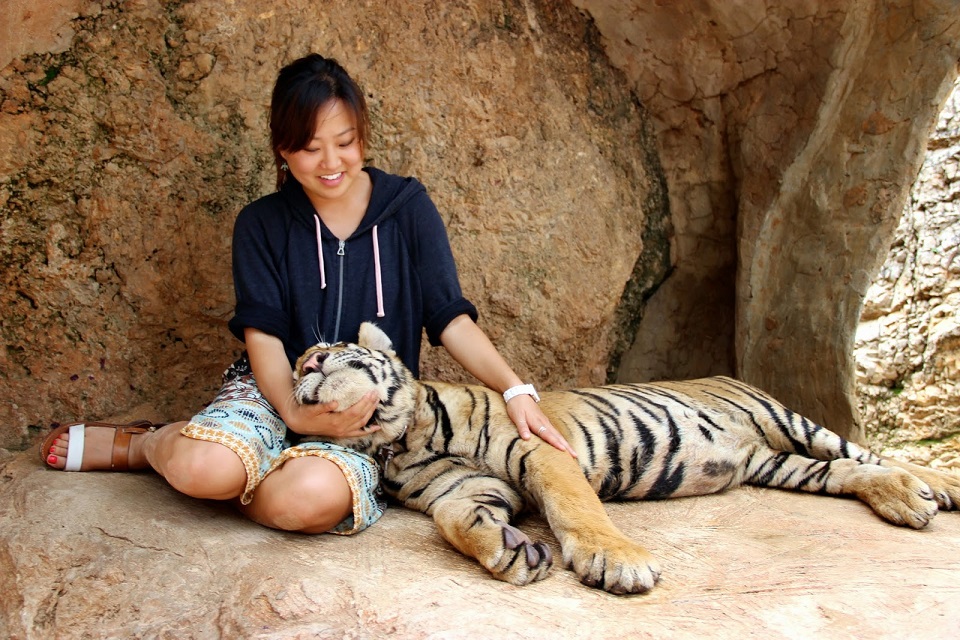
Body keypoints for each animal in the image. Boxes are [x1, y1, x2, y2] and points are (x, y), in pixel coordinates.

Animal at [292, 322, 960, 596]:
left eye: (335, 346)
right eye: (302, 361)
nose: (303, 364)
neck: (401, 439)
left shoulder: (542, 450)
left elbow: (576, 509)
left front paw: (617, 563)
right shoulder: (461, 491)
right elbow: (458, 523)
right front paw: (511, 550)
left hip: (786, 421)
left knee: (869, 451)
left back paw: (933, 486)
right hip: (777, 464)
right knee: (849, 470)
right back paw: (906, 501)